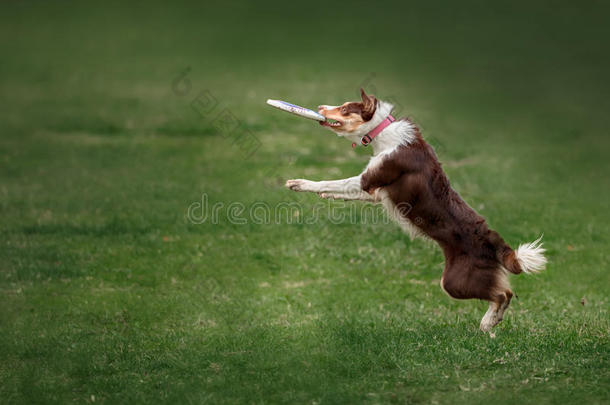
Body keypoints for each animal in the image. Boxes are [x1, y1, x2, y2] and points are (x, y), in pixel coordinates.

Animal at [284, 89, 548, 332]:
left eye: (346, 108)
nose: (320, 106)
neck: (382, 132)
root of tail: (494, 240)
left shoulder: (367, 180)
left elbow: (331, 181)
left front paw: (301, 183)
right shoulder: (375, 192)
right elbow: (339, 190)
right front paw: (324, 194)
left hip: (455, 281)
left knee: (502, 294)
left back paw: (487, 322)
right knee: (507, 292)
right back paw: (491, 322)